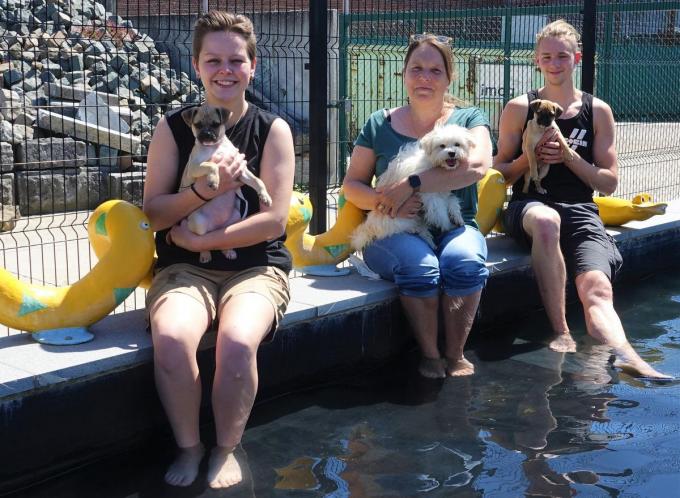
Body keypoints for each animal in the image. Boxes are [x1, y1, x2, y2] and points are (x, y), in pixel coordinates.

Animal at [354, 123, 476, 251]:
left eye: (457, 144)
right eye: (442, 146)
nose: (452, 153)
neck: (434, 165)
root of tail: (370, 225)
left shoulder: (443, 193)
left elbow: (452, 201)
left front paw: (457, 217)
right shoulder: (431, 197)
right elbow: (440, 213)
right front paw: (448, 226)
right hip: (401, 220)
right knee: (399, 228)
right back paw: (415, 230)